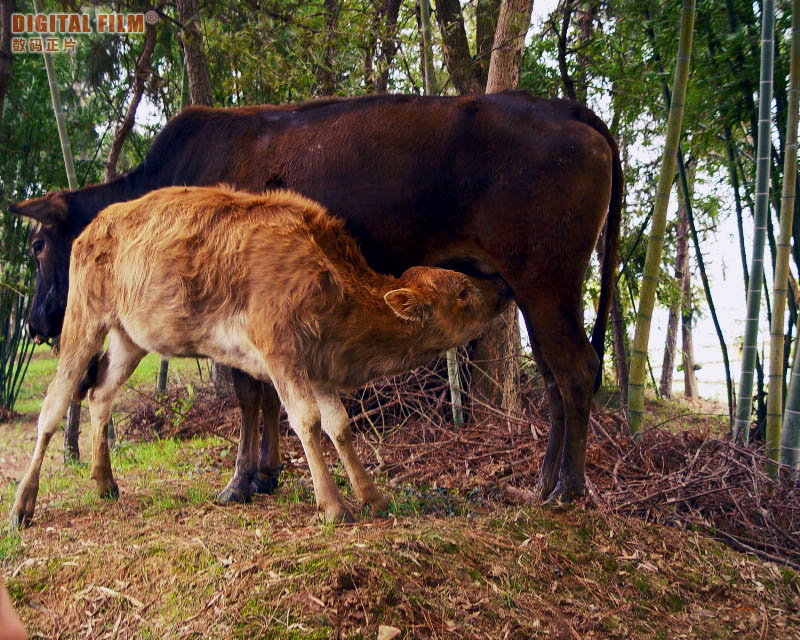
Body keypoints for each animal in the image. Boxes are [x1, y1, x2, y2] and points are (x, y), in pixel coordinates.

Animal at [9, 185, 510, 524]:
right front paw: (333, 505)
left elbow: (339, 425)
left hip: (129, 339)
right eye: (463, 292)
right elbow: (305, 420)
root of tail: (94, 226)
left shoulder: (315, 365)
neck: (332, 278)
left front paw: (372, 496)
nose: (502, 288)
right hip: (83, 323)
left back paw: (105, 481)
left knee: (100, 394)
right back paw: (22, 505)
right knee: (54, 406)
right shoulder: (279, 350)